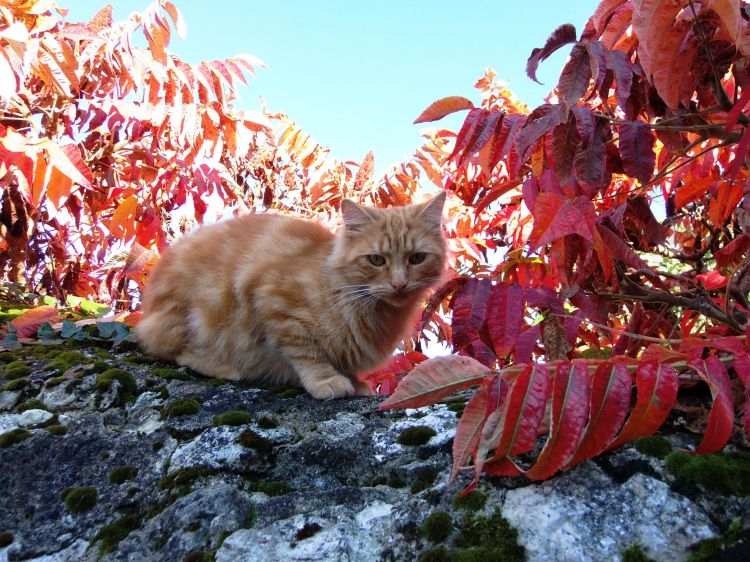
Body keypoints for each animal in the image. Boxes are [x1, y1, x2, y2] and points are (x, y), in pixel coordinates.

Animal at [137, 192, 446, 398]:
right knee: (177, 352)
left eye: (417, 258)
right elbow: (308, 353)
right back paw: (226, 368)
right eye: (377, 260)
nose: (399, 284)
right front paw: (327, 381)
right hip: (198, 316)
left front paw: (354, 381)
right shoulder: (274, 302)